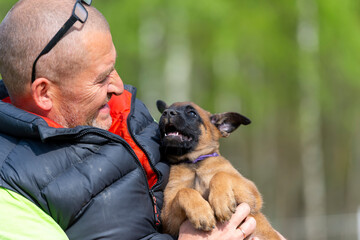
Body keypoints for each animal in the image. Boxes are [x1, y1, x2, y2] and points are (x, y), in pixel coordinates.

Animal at [158, 99, 282, 238]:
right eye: (165, 111)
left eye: (192, 113)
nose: (167, 112)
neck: (194, 164)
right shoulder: (168, 220)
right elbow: (184, 191)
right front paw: (201, 213)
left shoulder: (251, 193)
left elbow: (221, 174)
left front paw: (222, 202)